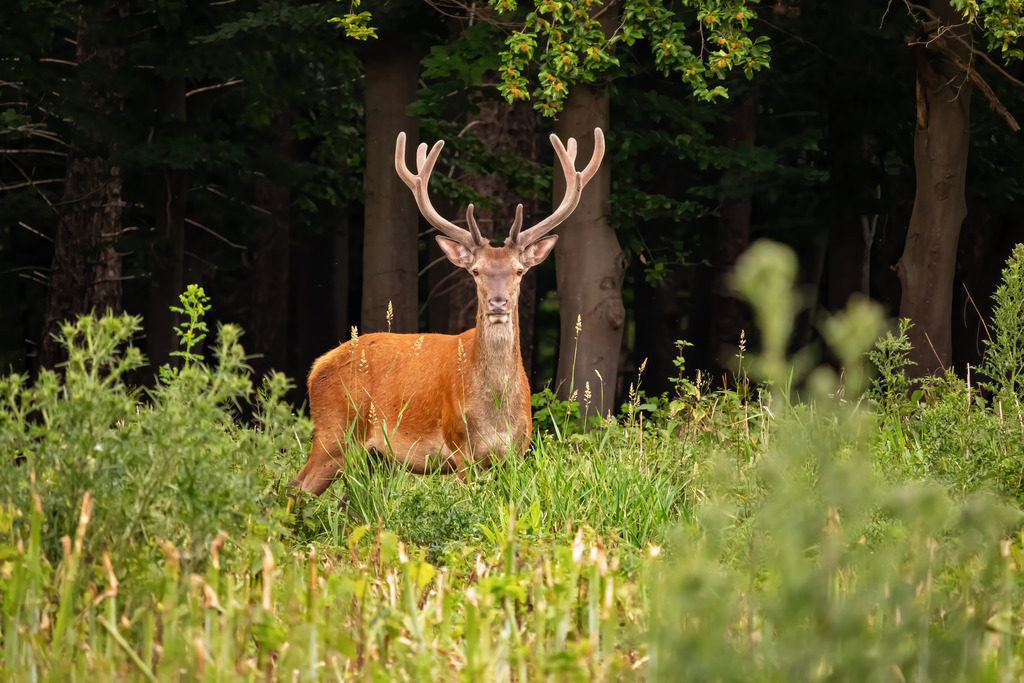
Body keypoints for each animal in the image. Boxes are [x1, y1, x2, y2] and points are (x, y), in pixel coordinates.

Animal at [289, 127, 605, 495]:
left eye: (519, 270)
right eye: (477, 271)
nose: (498, 303)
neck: (496, 410)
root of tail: (316, 367)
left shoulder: (517, 451)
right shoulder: (461, 448)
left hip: (370, 456)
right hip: (334, 433)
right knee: (295, 487)